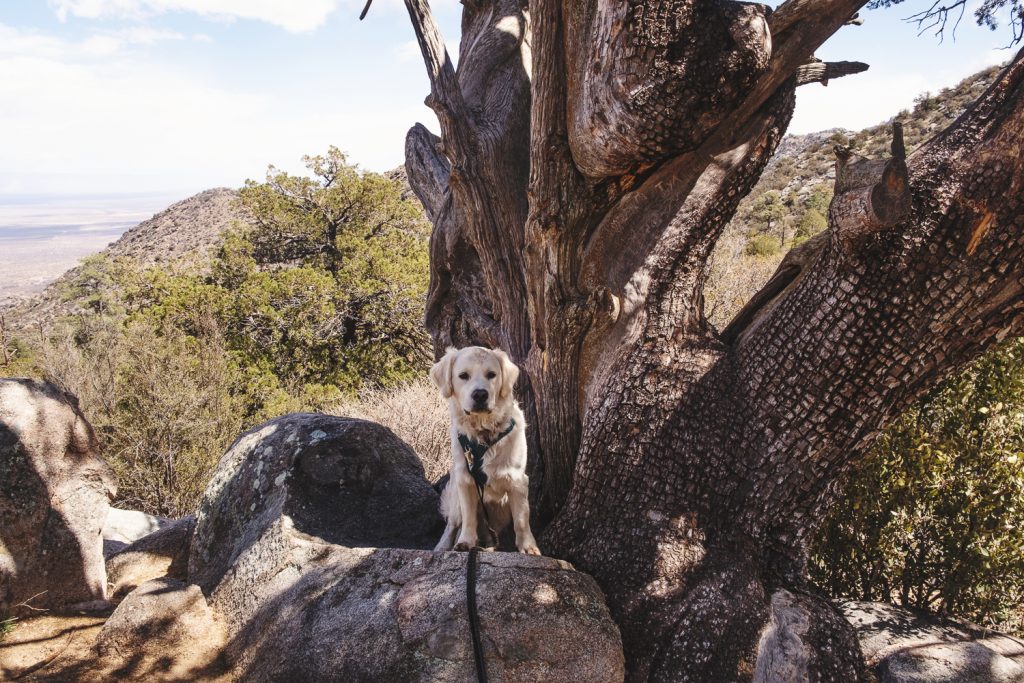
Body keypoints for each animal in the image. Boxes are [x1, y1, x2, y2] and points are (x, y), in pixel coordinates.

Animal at [432, 348, 544, 557]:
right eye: (463, 376)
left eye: (491, 374)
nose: (480, 394)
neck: (484, 435)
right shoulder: (465, 480)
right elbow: (468, 519)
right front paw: (465, 542)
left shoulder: (518, 481)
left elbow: (521, 520)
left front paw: (528, 547)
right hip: (455, 500)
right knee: (452, 525)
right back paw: (442, 547)